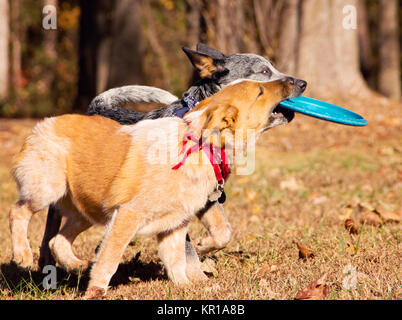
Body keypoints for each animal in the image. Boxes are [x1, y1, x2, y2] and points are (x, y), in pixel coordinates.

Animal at [9, 79, 298, 298]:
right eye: (260, 90)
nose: (296, 82)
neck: (200, 147)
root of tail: (44, 122)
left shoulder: (175, 225)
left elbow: (177, 261)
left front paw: (189, 288)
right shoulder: (128, 215)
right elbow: (110, 258)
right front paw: (95, 292)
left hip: (88, 210)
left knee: (57, 239)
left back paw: (75, 264)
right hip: (48, 188)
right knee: (18, 212)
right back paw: (23, 254)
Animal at [37, 43, 308, 270]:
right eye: (263, 71)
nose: (303, 83)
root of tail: (95, 108)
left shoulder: (207, 197)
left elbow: (223, 232)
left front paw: (204, 246)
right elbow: (185, 250)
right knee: (52, 219)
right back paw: (46, 261)